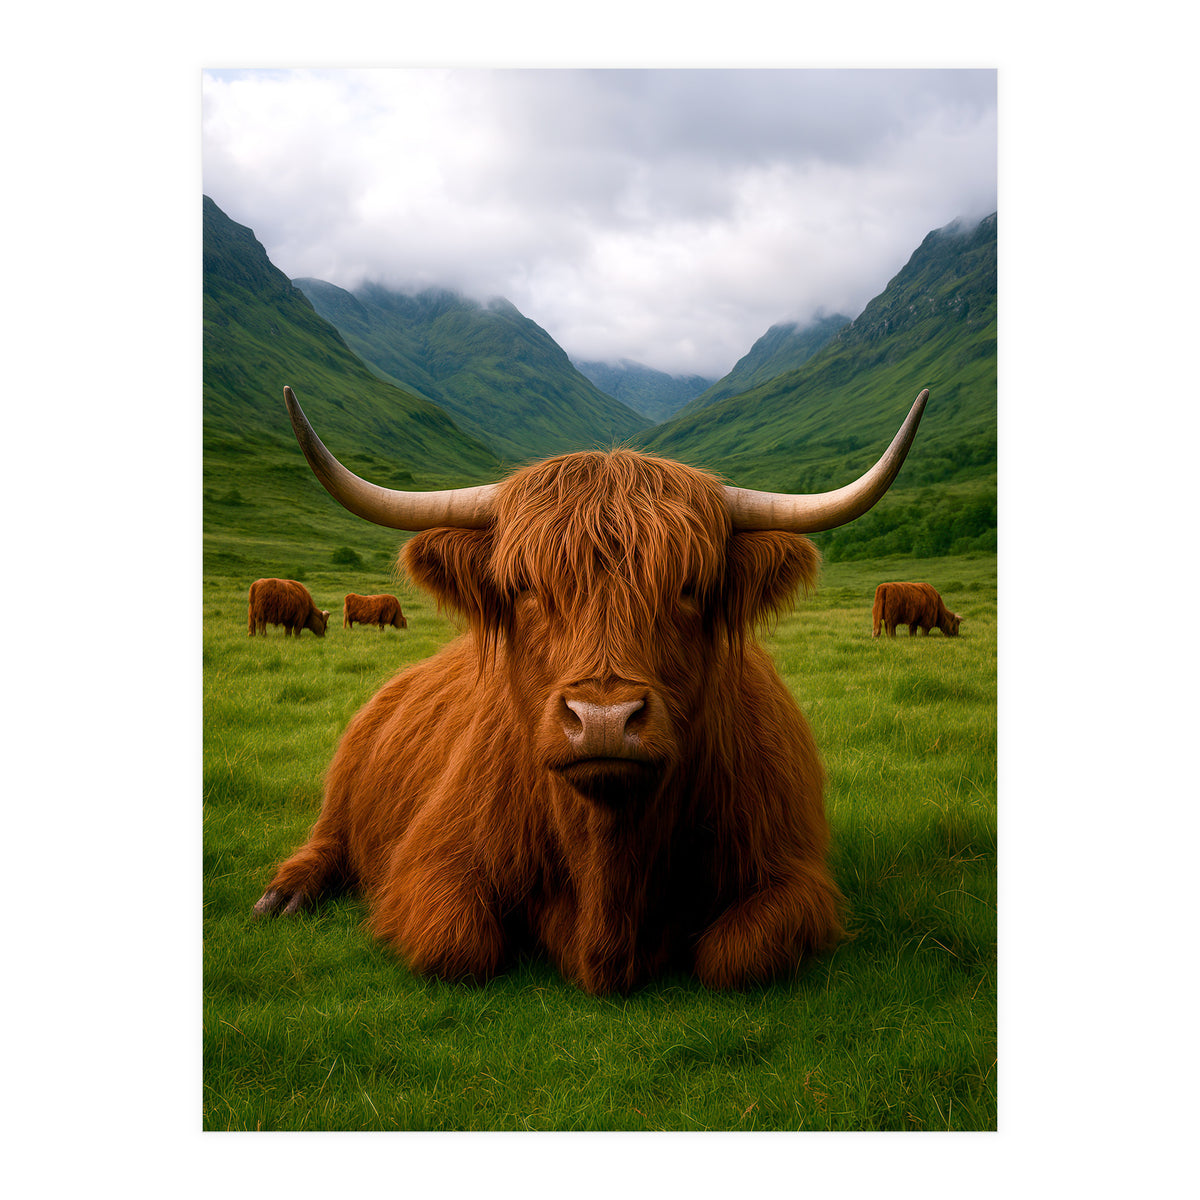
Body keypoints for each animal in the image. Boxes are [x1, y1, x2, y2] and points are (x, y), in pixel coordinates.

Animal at [253, 385, 930, 994]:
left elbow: (736, 957)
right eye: (524, 586)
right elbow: (458, 945)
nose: (603, 719)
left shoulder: (792, 875)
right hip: (344, 789)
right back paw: (283, 895)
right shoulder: (431, 862)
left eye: (689, 587)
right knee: (328, 840)